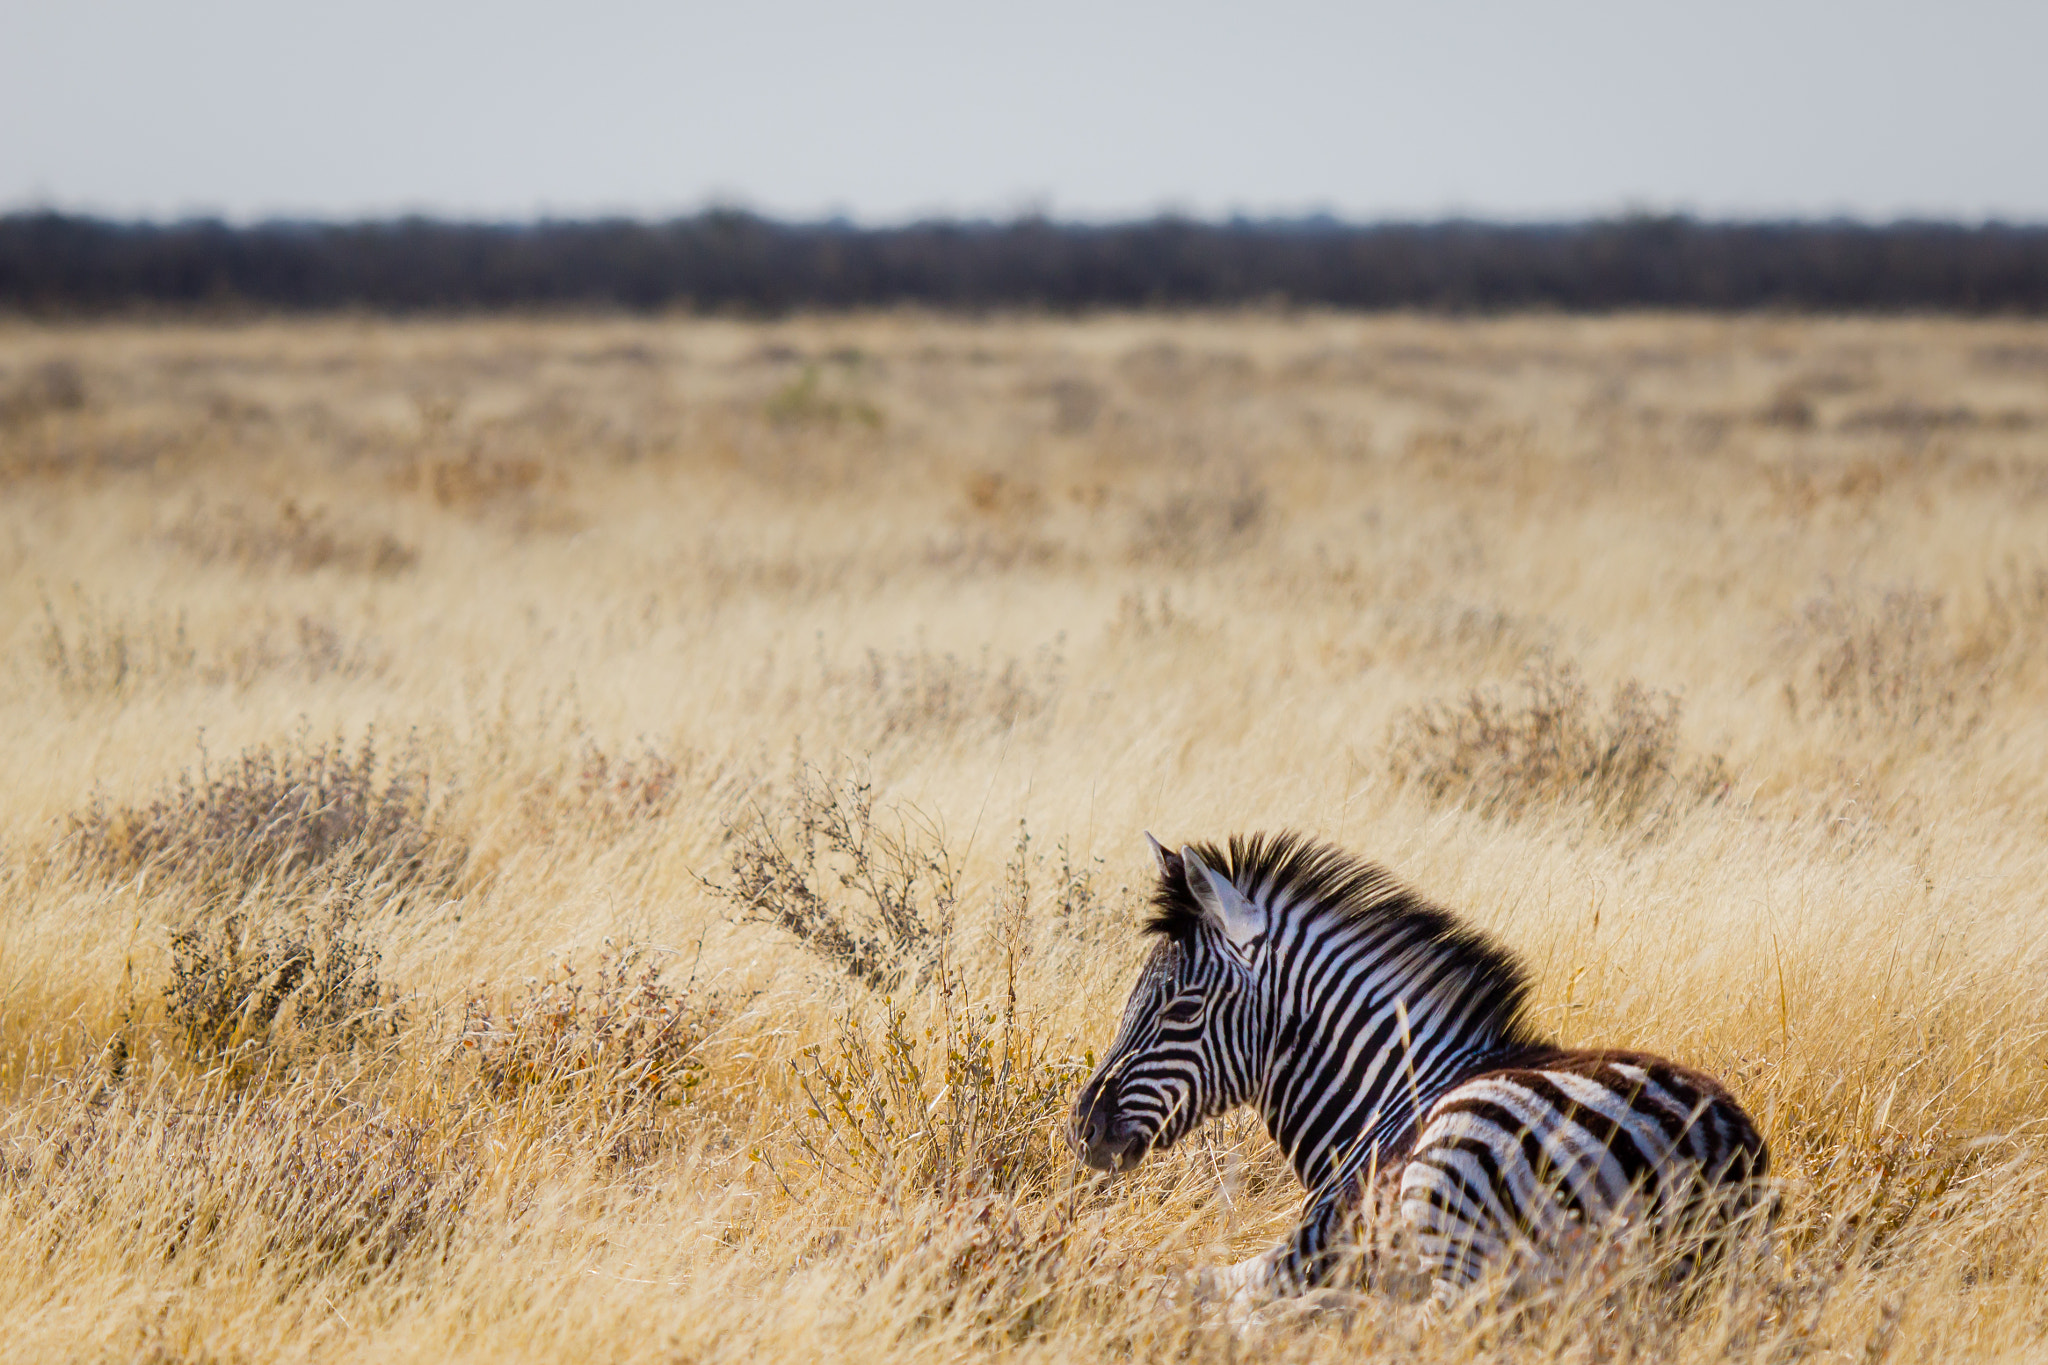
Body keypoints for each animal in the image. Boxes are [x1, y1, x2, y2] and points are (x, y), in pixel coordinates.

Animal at [1068, 831, 1771, 1312]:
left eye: (1182, 1009)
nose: (1082, 1130)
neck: (1384, 1102)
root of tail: (1712, 1150)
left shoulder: (1315, 1246)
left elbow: (1182, 1282)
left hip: (1459, 1164)